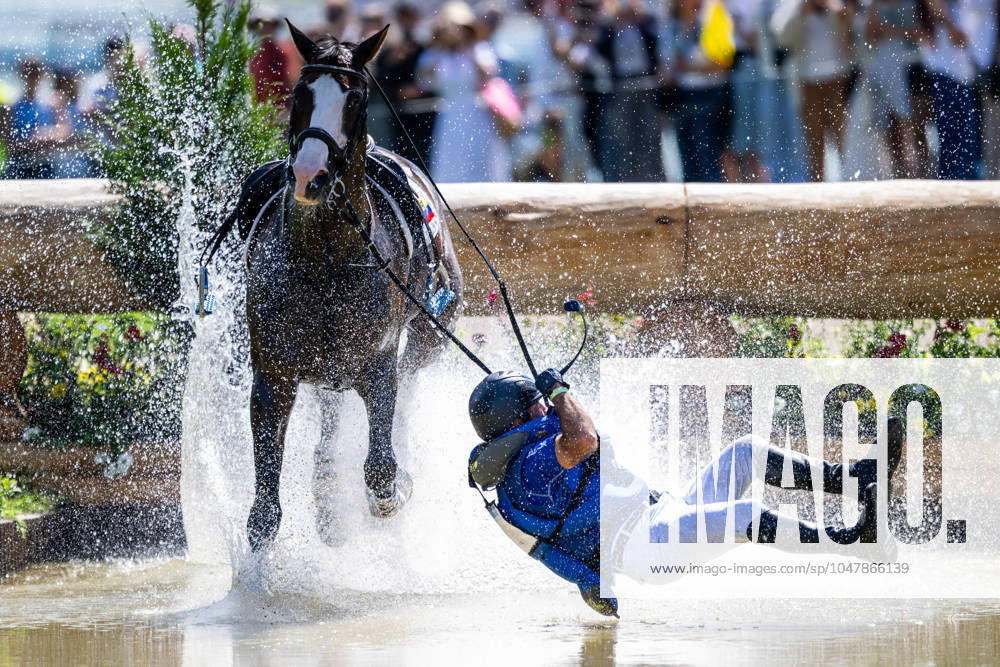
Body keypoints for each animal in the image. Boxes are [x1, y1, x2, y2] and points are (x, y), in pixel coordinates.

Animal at [238, 22, 463, 552]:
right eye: (300, 94)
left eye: (355, 98)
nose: (309, 174)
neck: (325, 262)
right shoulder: (273, 376)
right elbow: (264, 512)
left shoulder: (378, 366)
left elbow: (381, 469)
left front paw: (395, 488)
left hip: (433, 332)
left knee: (410, 380)